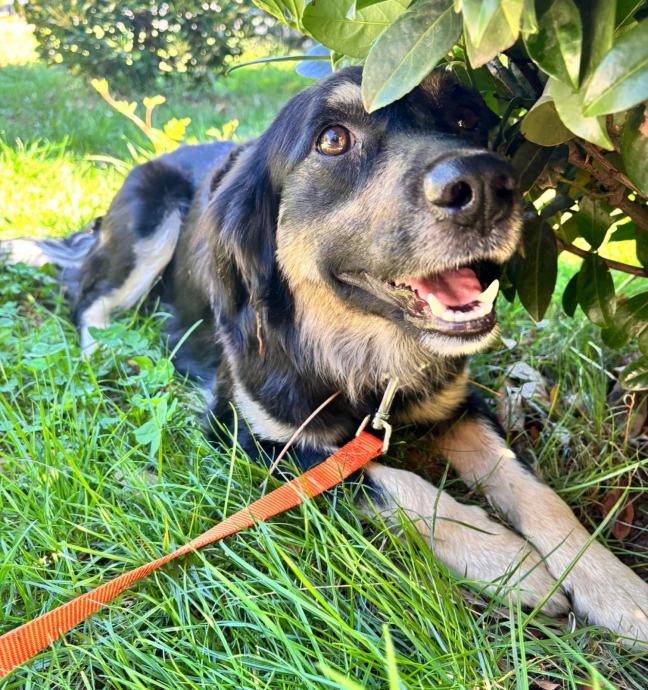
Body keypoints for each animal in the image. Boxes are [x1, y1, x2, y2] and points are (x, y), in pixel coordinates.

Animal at [3, 66, 647, 643]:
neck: (358, 353)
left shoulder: (458, 408)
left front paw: (612, 584)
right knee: (86, 303)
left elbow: (535, 491)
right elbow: (384, 478)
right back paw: (117, 361)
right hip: (147, 223)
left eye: (466, 119)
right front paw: (509, 560)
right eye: (333, 139)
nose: (490, 187)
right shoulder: (251, 436)